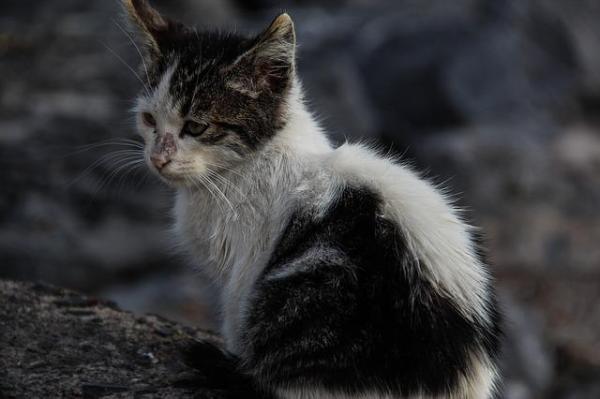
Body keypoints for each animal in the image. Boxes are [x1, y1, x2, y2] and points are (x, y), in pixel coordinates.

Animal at [120, 1, 502, 398]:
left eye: (196, 126)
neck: (253, 161)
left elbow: (235, 311)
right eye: (149, 120)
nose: (158, 158)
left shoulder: (244, 267)